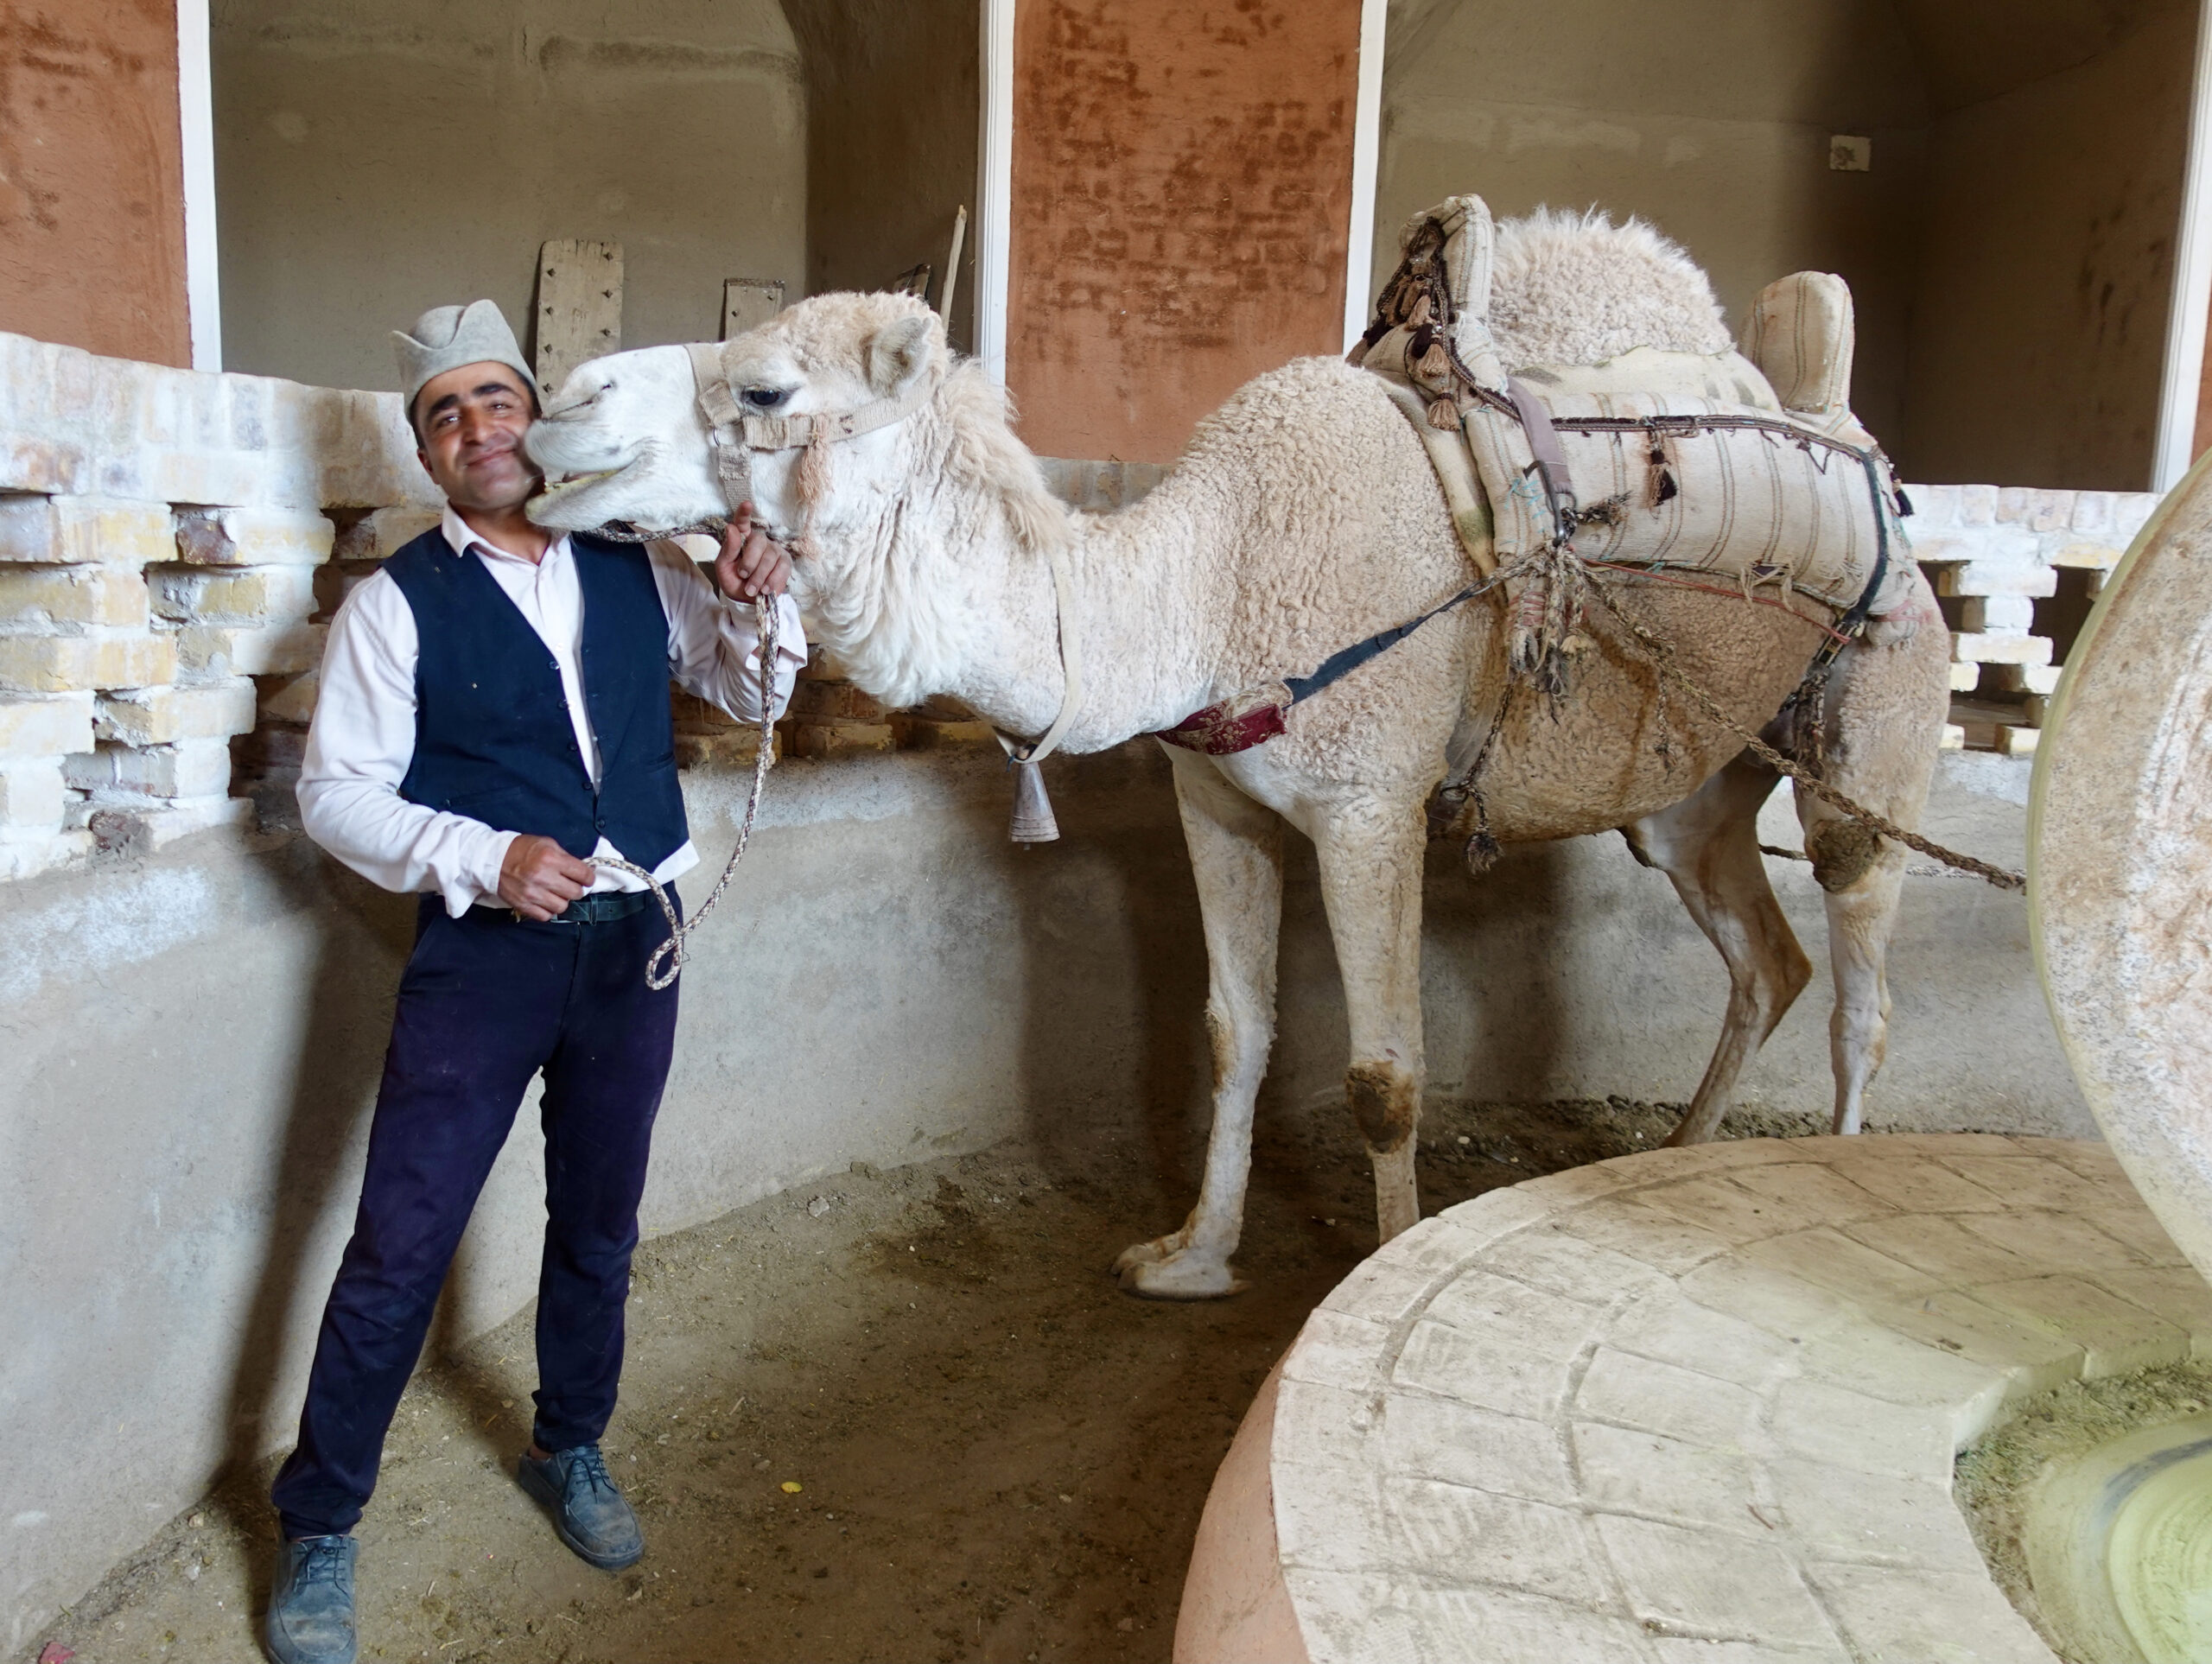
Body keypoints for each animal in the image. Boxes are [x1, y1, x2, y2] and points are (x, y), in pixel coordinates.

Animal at [526, 211, 1946, 1300]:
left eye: (766, 388)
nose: (561, 408)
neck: (1210, 592)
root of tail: (1864, 453)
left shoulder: (1371, 804)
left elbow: (1382, 1074)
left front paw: (1368, 1269)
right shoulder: (1215, 798)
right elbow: (1228, 1033)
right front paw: (1189, 1257)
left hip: (1879, 723)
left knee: (1861, 982)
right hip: (1691, 788)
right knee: (1762, 957)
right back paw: (1681, 1156)